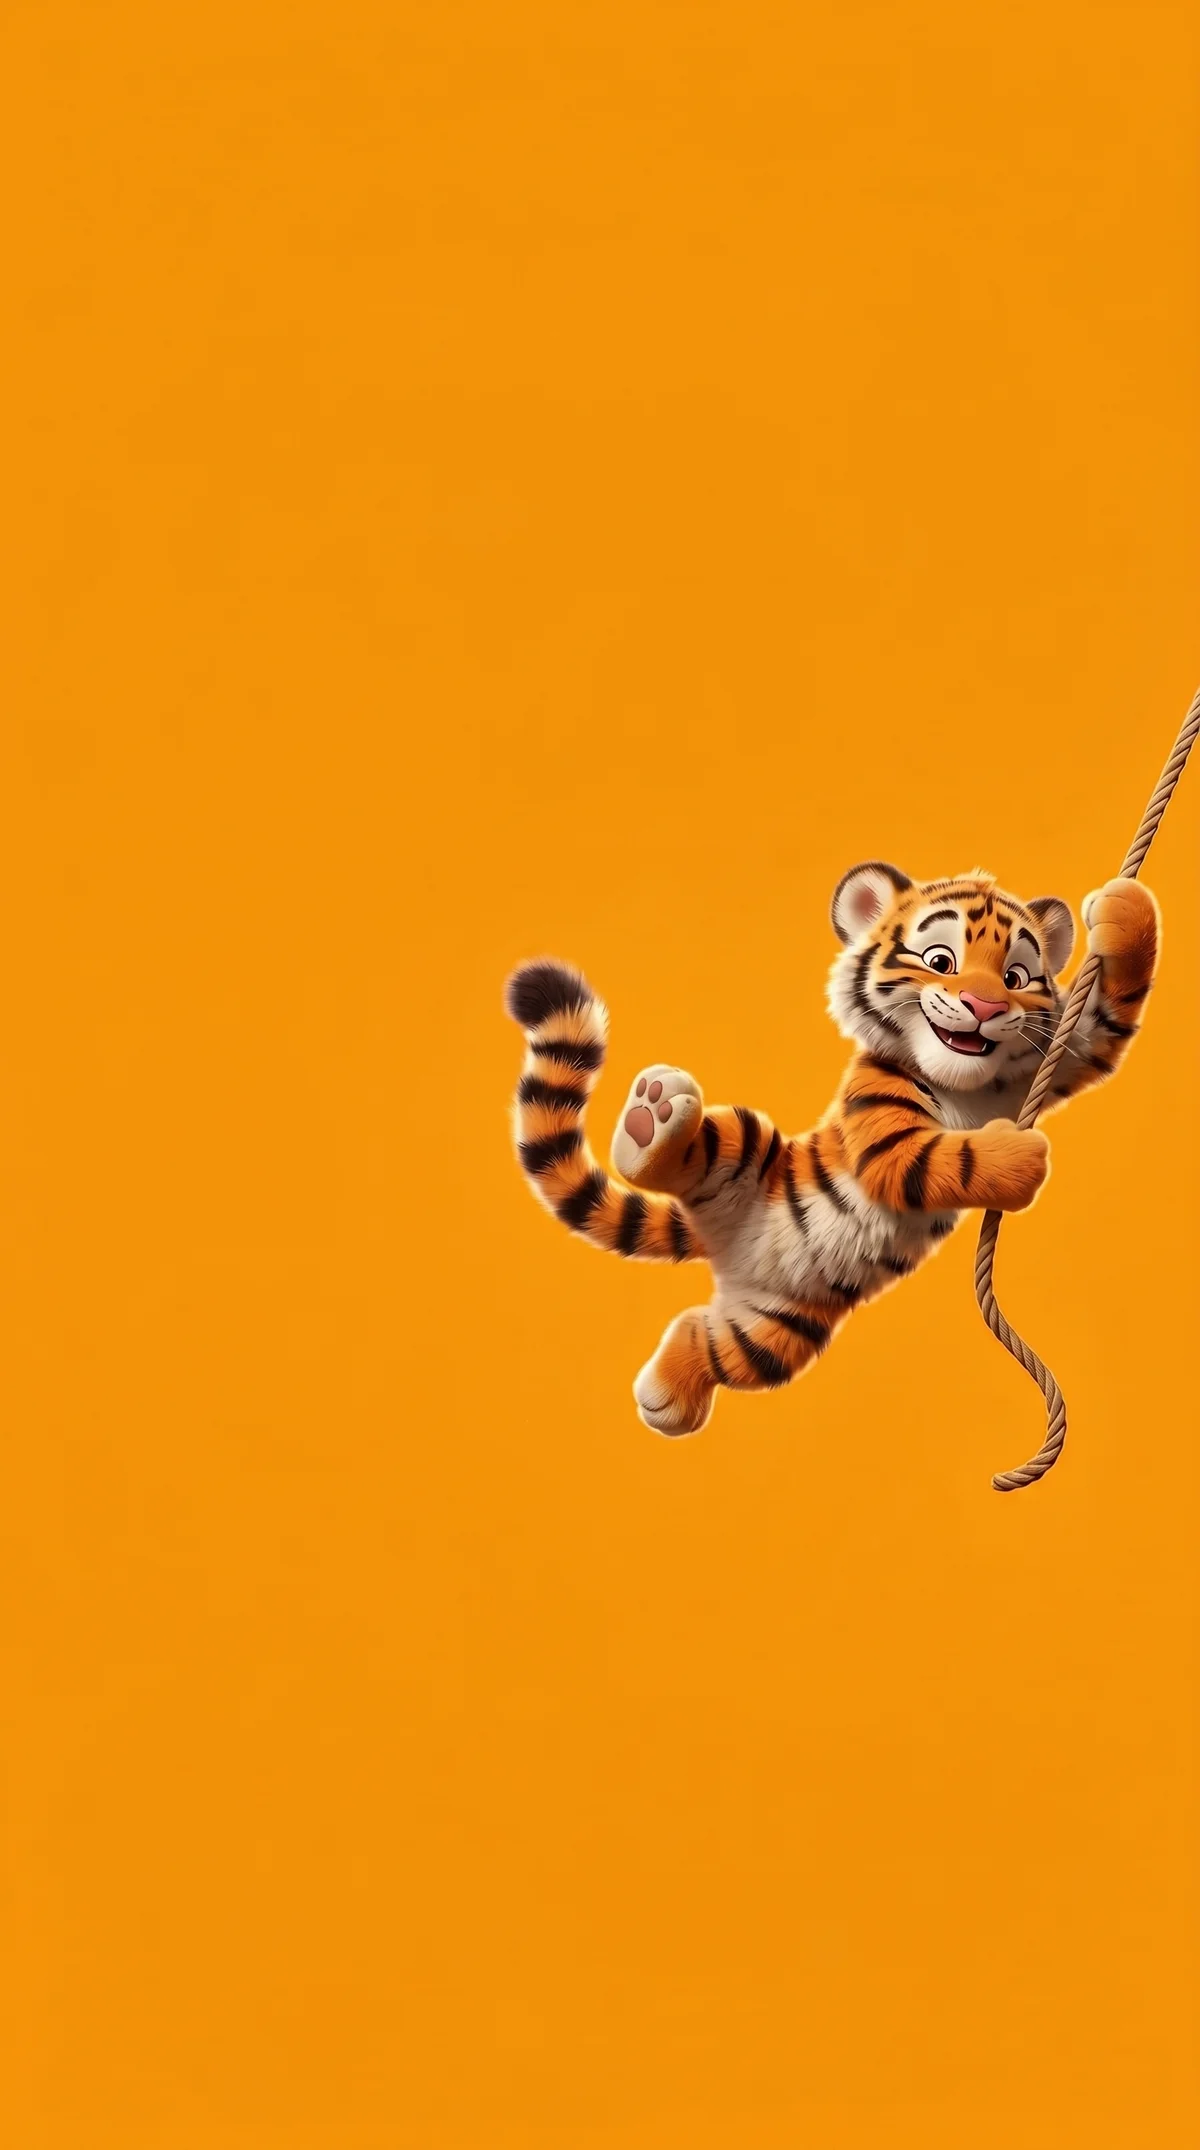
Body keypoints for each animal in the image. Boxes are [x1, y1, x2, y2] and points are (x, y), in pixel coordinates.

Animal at [504, 864, 1159, 1436]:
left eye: (1016, 978)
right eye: (940, 961)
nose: (987, 1006)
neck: (966, 1081)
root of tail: (718, 1242)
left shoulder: (1059, 1055)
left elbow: (1103, 1019)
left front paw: (1125, 908)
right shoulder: (884, 1136)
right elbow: (947, 1157)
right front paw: (1017, 1156)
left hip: (778, 1331)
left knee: (703, 1334)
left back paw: (666, 1398)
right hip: (745, 1142)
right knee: (678, 1154)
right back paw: (649, 1121)